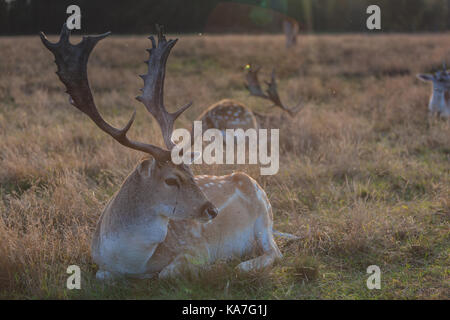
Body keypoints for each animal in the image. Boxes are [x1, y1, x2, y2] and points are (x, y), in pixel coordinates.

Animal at [41, 24, 292, 280]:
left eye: (191, 172)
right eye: (171, 180)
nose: (212, 210)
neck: (132, 263)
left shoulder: (196, 248)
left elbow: (166, 273)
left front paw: (215, 265)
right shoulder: (101, 265)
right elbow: (102, 276)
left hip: (263, 215)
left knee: (274, 251)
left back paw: (242, 265)